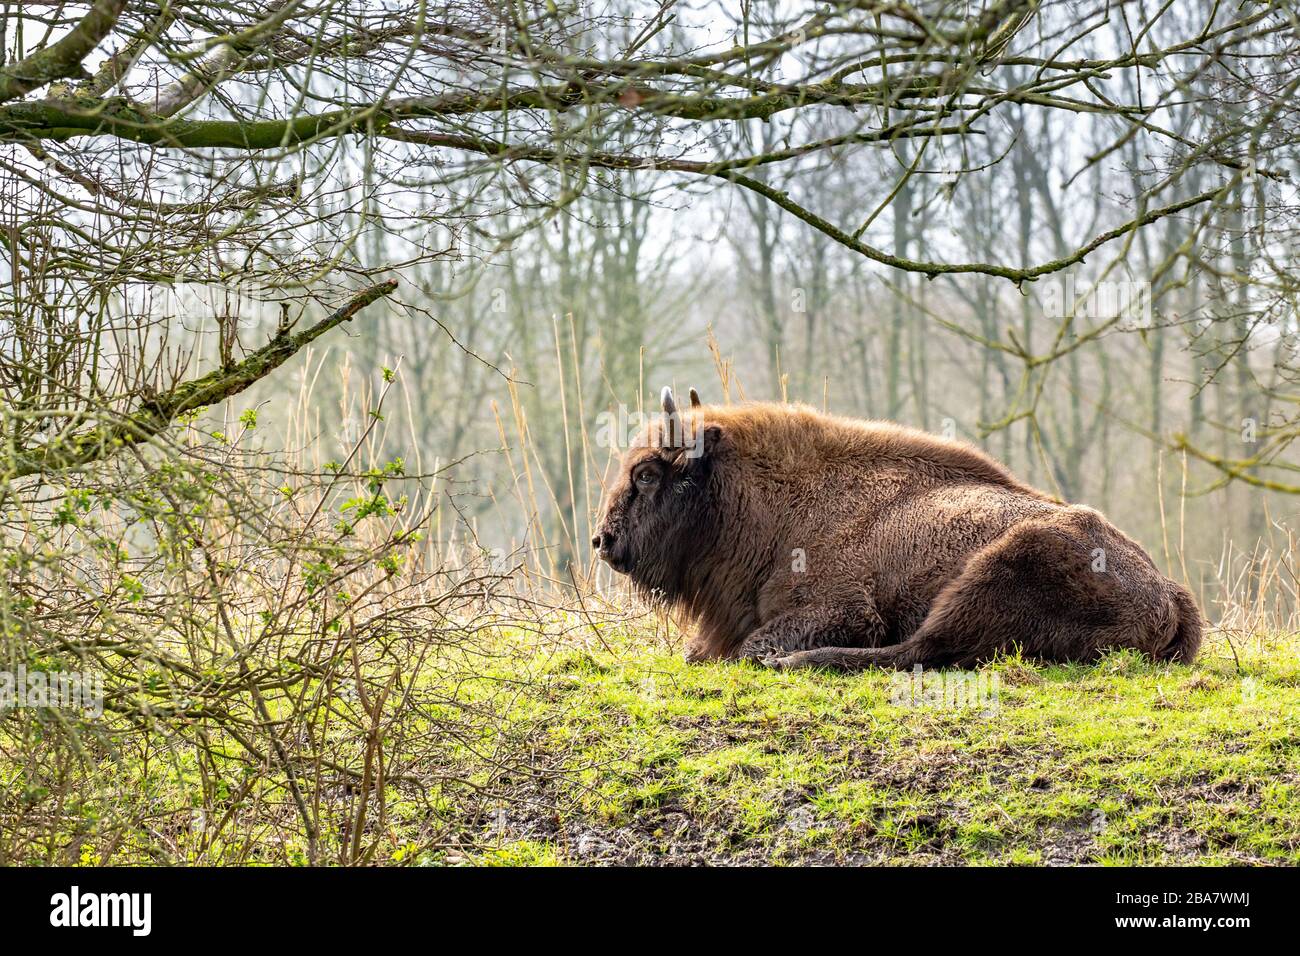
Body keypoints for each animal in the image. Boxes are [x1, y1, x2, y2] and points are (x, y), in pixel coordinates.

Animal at [593, 387, 1203, 670]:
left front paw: (775, 656)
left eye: (646, 473)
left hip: (997, 571)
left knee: (916, 649)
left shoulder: (843, 610)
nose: (603, 540)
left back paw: (800, 663)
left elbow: (753, 647)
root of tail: (1170, 595)